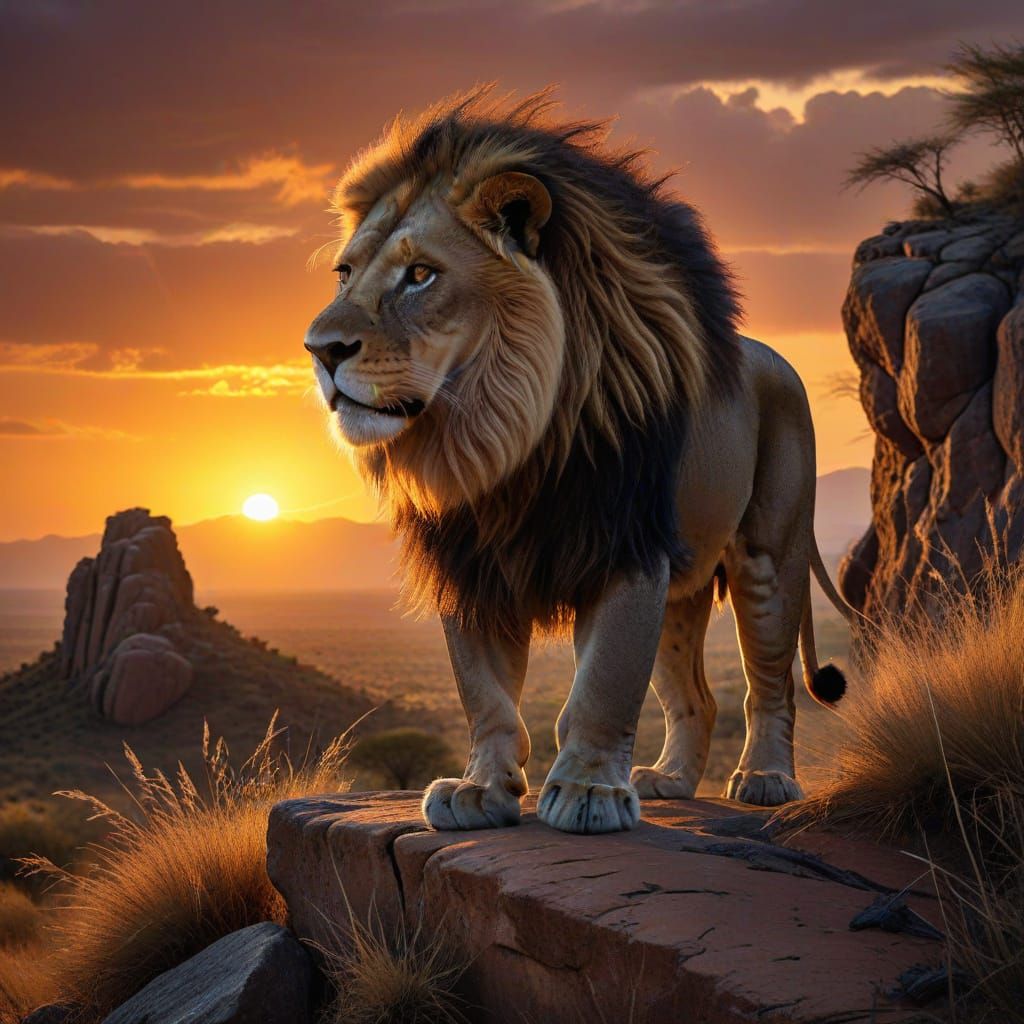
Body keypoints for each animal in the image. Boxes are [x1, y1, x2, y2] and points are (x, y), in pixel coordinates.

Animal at [304, 89, 853, 835]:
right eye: (345, 273)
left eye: (421, 274)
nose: (320, 348)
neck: (505, 440)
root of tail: (776, 357)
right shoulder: (472, 564)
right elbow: (484, 693)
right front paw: (479, 789)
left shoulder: (625, 548)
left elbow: (603, 683)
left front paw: (590, 792)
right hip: (680, 587)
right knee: (697, 697)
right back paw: (670, 780)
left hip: (770, 554)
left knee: (770, 682)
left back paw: (766, 778)